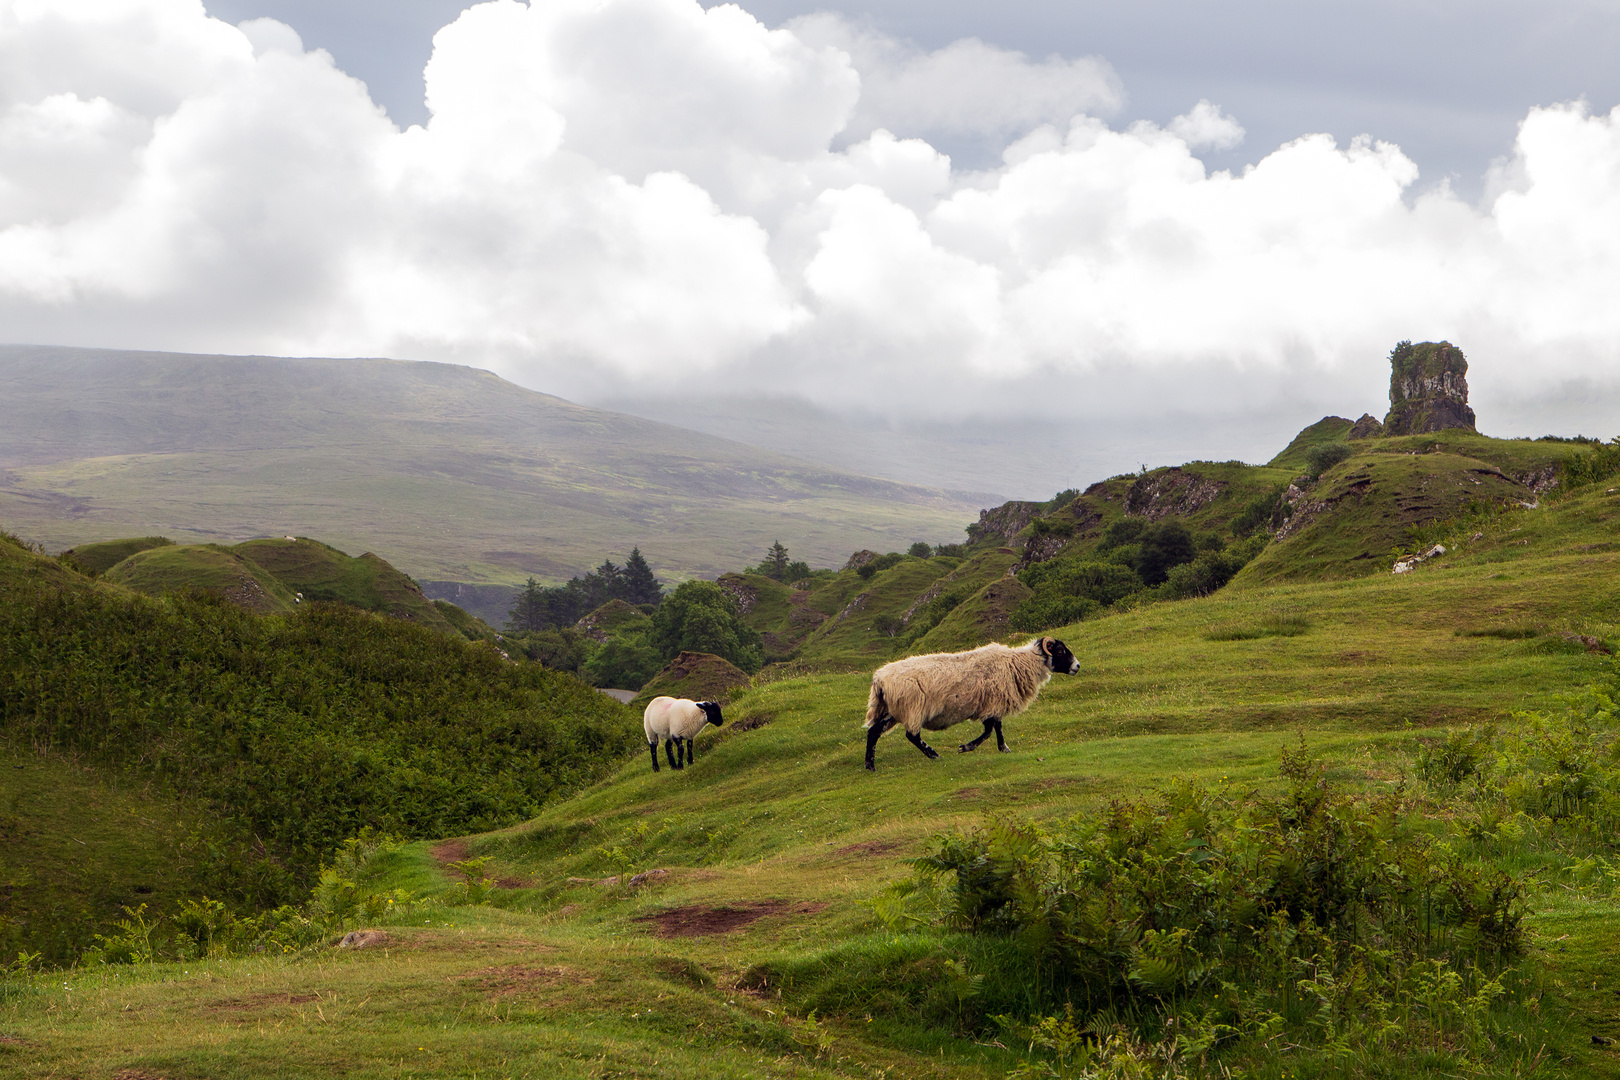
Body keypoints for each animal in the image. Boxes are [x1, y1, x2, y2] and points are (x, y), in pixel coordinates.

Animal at [861, 637, 1075, 773]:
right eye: (1060, 650)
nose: (1077, 666)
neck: (1020, 663)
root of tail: (879, 679)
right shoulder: (992, 702)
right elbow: (990, 730)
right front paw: (967, 747)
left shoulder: (993, 704)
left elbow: (996, 728)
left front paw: (1003, 748)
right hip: (911, 707)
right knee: (911, 735)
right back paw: (934, 755)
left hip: (892, 710)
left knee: (874, 732)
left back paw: (870, 765)